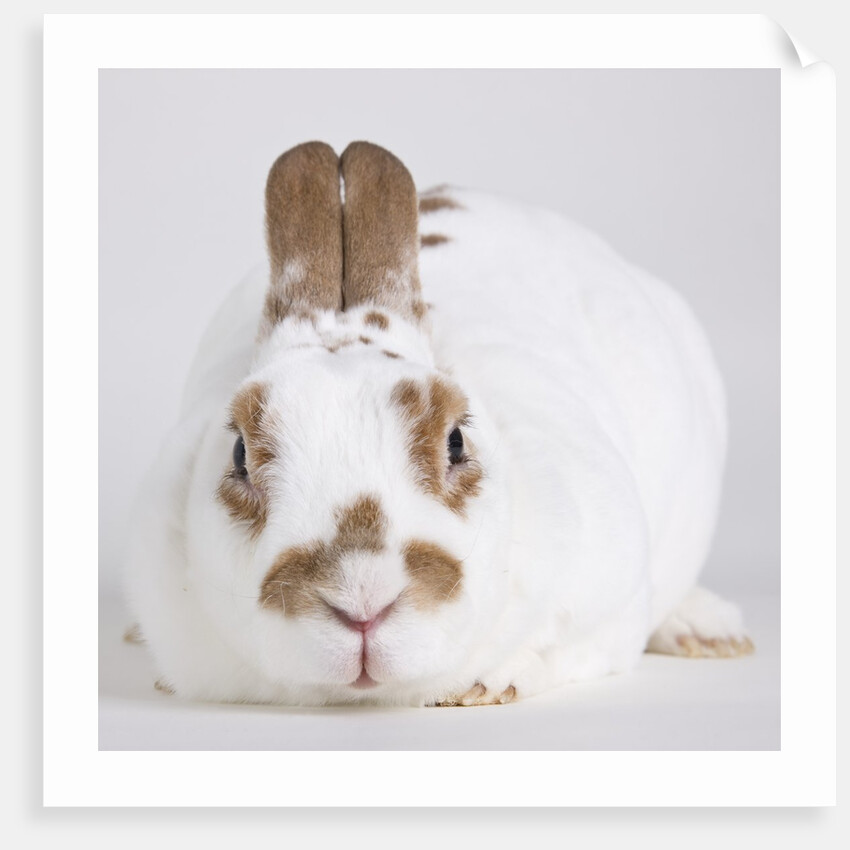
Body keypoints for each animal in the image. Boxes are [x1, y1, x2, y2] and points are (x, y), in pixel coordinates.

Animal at [123, 140, 753, 708]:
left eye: (455, 441)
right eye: (239, 455)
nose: (362, 601)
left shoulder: (611, 603)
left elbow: (564, 648)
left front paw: (490, 684)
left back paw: (711, 632)